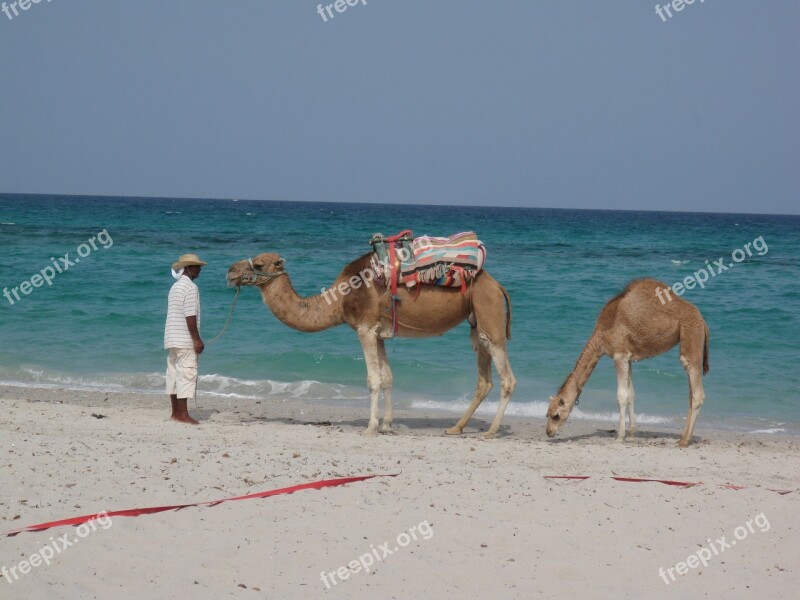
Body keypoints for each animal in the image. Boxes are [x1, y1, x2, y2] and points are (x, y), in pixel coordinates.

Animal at [548, 278, 708, 448]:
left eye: (555, 415)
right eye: (547, 414)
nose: (548, 432)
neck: (602, 335)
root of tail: (702, 320)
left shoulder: (619, 355)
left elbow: (621, 395)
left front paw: (620, 436)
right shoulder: (628, 358)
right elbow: (631, 394)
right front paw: (631, 434)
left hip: (691, 337)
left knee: (697, 392)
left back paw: (685, 441)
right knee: (691, 394)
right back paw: (682, 437)